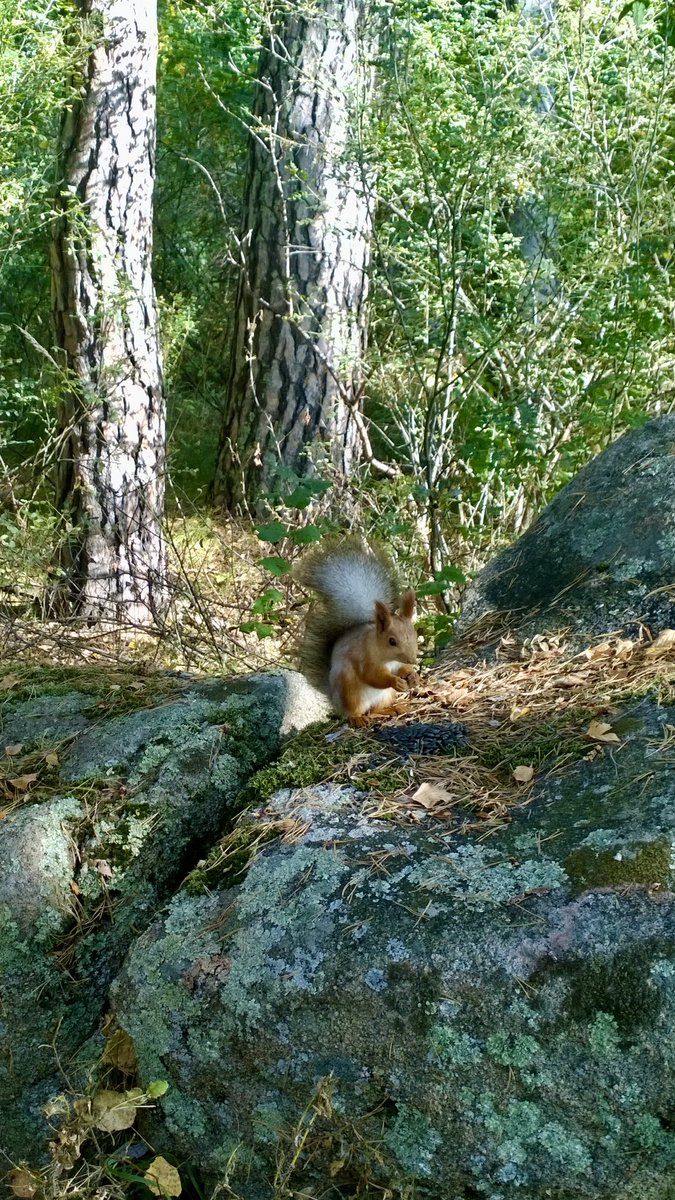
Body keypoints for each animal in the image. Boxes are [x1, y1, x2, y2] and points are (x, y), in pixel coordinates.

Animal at [294, 537, 420, 725]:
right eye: (391, 641)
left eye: (415, 635)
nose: (413, 659)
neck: (387, 657)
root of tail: (335, 701)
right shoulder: (365, 659)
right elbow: (372, 676)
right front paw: (395, 681)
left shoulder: (397, 663)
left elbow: (402, 669)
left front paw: (413, 675)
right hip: (350, 691)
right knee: (354, 712)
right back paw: (358, 719)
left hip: (384, 696)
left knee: (375, 709)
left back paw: (392, 708)